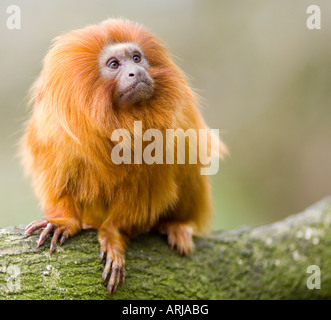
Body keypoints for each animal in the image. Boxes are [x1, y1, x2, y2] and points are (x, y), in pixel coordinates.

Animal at [21, 17, 228, 294]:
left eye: (137, 58)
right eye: (114, 65)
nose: (136, 72)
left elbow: (144, 197)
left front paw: (113, 235)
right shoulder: (58, 132)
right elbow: (59, 180)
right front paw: (65, 220)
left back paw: (177, 225)